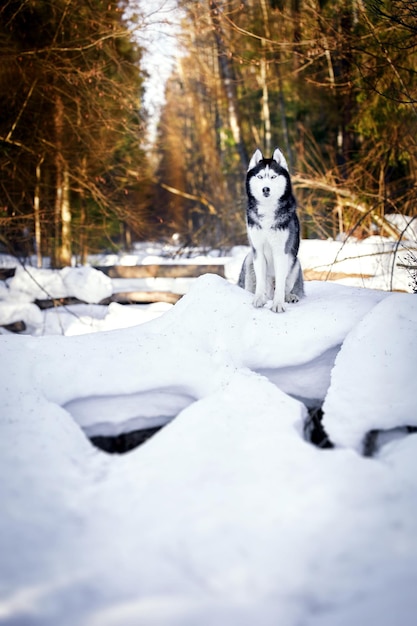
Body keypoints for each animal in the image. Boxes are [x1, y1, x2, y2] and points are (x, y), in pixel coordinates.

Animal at [237, 147, 302, 312]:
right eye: (260, 176)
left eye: (273, 177)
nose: (265, 189)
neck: (267, 210)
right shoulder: (258, 251)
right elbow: (260, 282)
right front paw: (259, 299)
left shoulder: (281, 251)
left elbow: (280, 284)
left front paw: (278, 304)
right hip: (249, 259)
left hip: (295, 262)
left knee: (285, 286)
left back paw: (288, 297)